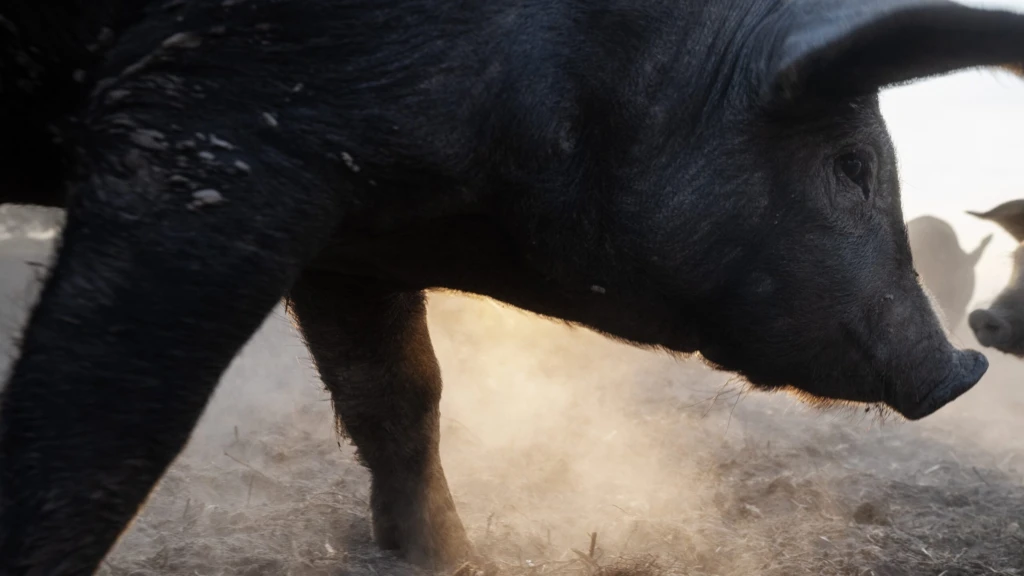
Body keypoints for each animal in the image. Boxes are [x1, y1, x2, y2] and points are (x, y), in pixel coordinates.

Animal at [0, 0, 1019, 569]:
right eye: (852, 164)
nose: (962, 367)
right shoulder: (204, 134)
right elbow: (113, 418)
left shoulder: (350, 224)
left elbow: (400, 393)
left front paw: (452, 559)